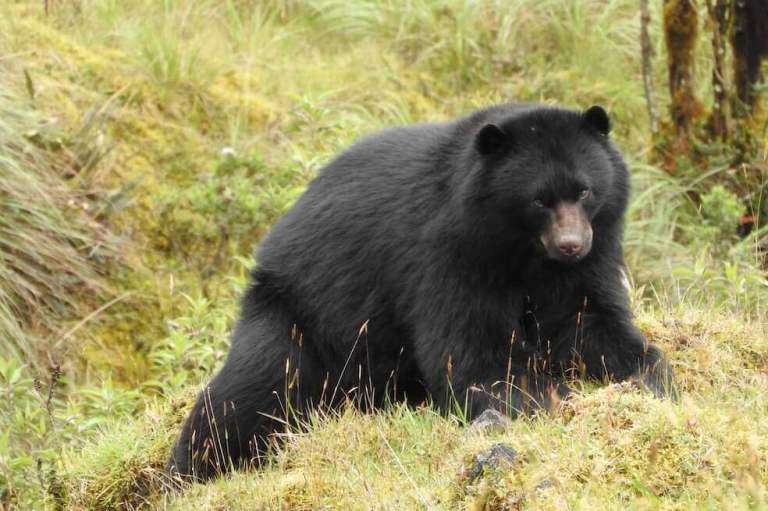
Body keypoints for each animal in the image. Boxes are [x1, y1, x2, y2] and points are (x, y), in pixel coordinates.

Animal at [167, 103, 677, 481]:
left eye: (585, 191)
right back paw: (189, 470)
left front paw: (649, 377)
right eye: (539, 199)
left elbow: (588, 318)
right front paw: (556, 400)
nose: (571, 245)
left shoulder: (591, 253)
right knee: (251, 390)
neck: (521, 251)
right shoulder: (448, 256)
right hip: (295, 316)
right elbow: (472, 358)